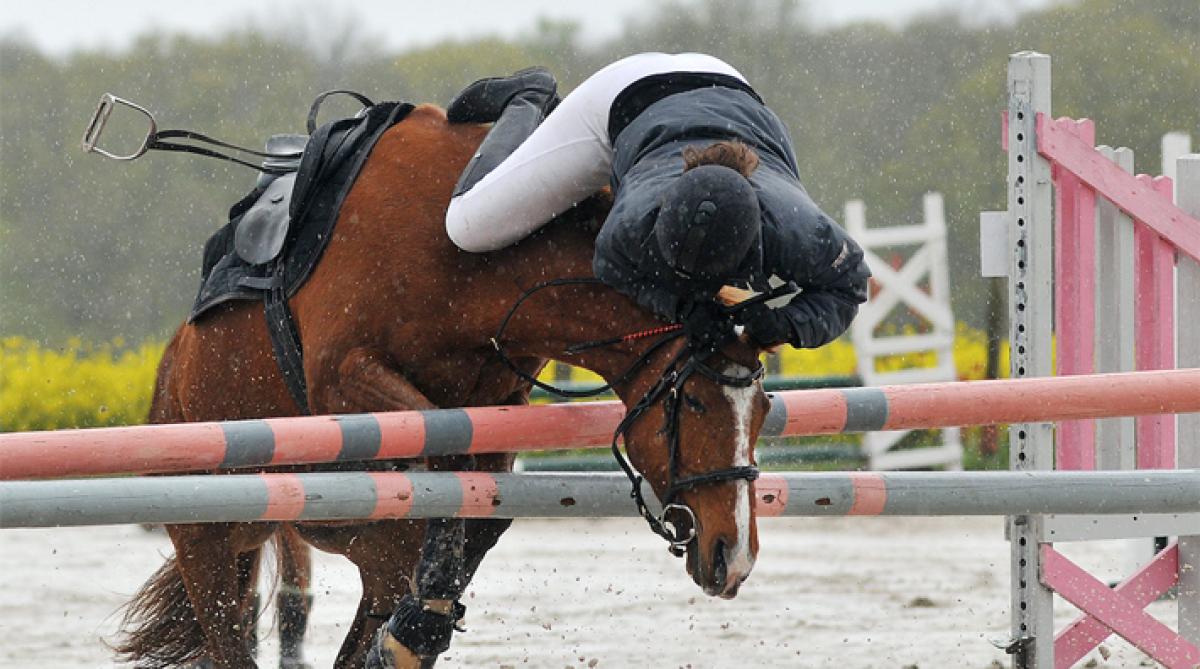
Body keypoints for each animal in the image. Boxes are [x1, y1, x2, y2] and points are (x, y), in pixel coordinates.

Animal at [113, 103, 772, 668]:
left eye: (764, 410)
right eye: (695, 401)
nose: (733, 558)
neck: (467, 259)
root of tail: (171, 368)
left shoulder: (500, 402)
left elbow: (484, 508)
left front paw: (417, 625)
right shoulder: (344, 378)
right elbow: (446, 455)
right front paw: (423, 617)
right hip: (208, 539)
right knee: (229, 630)